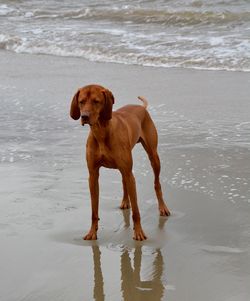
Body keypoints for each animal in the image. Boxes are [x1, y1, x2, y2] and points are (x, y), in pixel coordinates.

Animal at [70, 84, 170, 239]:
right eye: (81, 102)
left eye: (96, 101)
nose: (84, 116)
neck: (101, 131)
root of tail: (141, 107)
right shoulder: (93, 175)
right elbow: (94, 210)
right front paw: (92, 232)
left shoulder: (129, 173)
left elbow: (136, 211)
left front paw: (139, 232)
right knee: (124, 182)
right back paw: (125, 201)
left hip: (153, 156)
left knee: (156, 183)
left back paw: (162, 207)